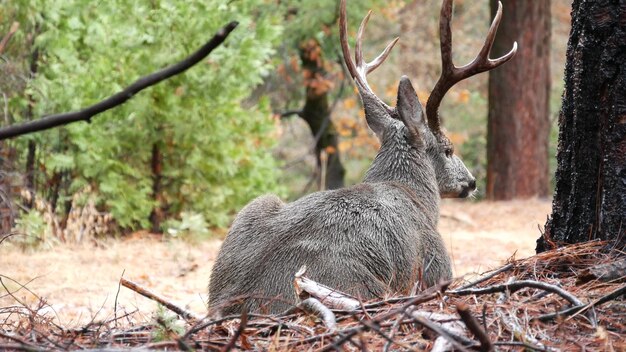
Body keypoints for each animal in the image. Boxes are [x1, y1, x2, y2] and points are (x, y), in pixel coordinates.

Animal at [207, 0, 516, 314]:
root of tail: (236, 304)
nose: (472, 181)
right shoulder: (435, 261)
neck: (416, 197)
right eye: (448, 149)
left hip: (254, 208)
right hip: (358, 285)